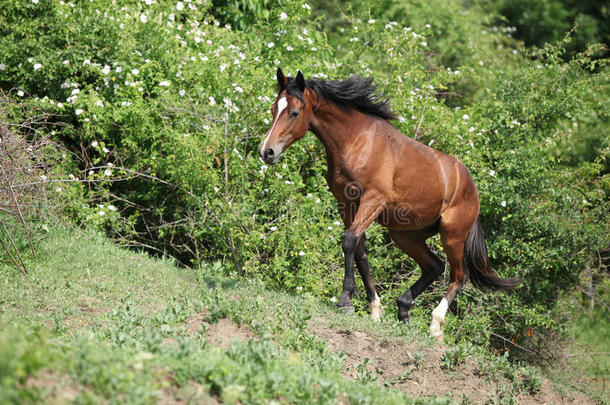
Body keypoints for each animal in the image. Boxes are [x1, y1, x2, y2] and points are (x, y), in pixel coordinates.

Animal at [256, 68, 516, 340]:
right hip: (405, 235)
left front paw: (345, 302)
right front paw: (375, 309)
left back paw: (435, 325)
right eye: (274, 108)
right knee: (434, 266)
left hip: (452, 235)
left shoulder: (373, 200)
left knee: (458, 276)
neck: (357, 141)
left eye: (294, 112)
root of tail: (471, 187)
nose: (267, 152)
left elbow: (349, 242)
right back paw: (403, 308)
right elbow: (360, 252)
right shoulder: (346, 204)